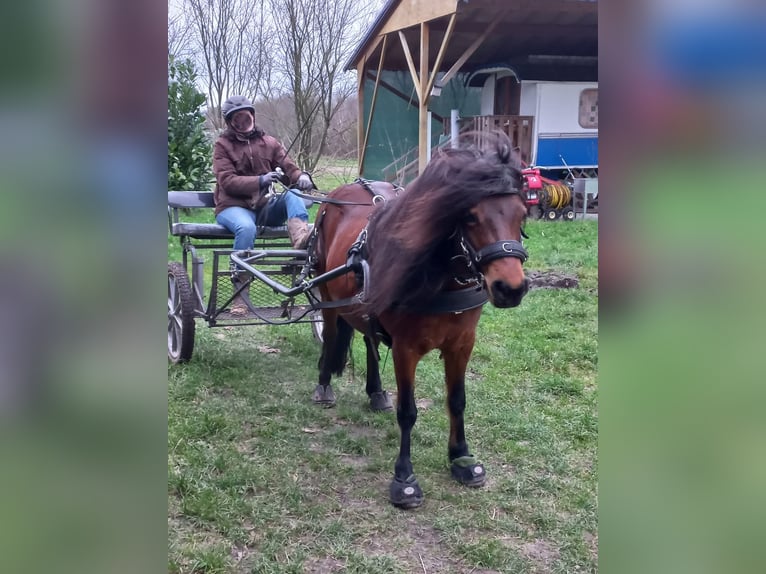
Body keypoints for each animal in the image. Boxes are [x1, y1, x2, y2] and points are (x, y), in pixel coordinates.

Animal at [316, 133, 532, 510]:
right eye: (470, 216)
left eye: (521, 213)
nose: (511, 288)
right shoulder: (406, 349)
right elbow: (408, 411)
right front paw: (404, 479)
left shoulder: (462, 344)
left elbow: (457, 400)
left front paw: (462, 458)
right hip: (328, 297)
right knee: (330, 335)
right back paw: (324, 385)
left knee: (369, 340)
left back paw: (376, 392)